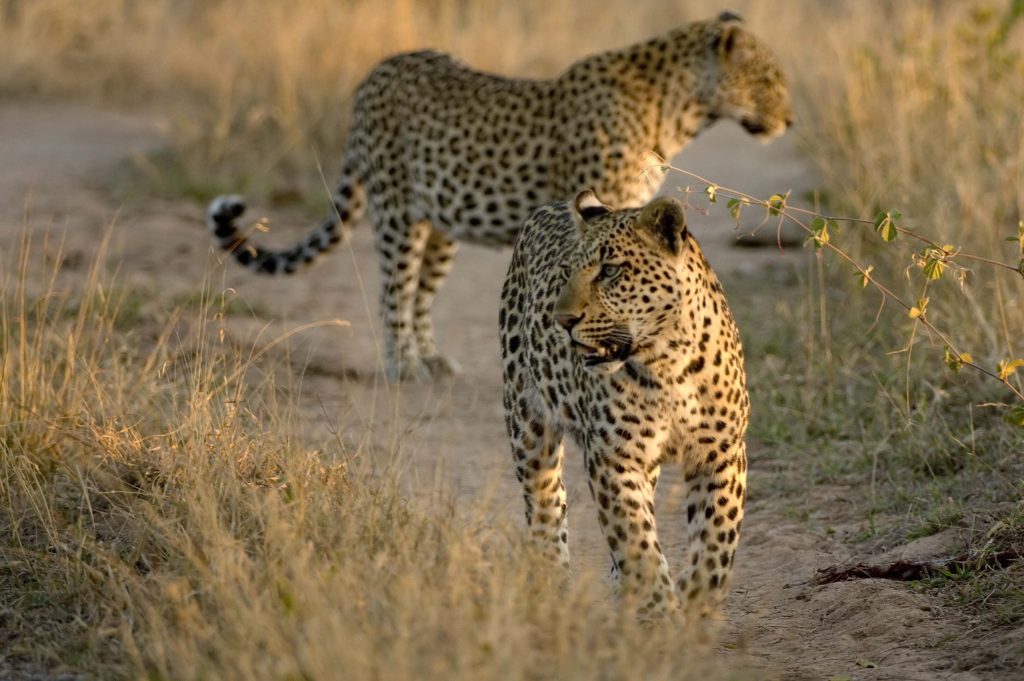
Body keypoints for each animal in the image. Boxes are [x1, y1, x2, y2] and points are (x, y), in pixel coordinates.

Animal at [203, 10, 786, 378]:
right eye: (770, 82)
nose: (789, 121)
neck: (680, 111)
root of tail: (377, 70)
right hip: (396, 210)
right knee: (394, 290)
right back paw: (401, 364)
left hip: (440, 224)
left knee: (420, 293)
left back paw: (433, 360)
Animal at [499, 191, 749, 622]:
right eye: (567, 272)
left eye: (611, 271)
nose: (562, 320)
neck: (668, 363)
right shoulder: (615, 458)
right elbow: (637, 541)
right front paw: (662, 616)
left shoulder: (723, 453)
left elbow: (716, 541)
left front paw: (697, 606)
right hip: (526, 423)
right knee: (545, 501)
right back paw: (551, 581)